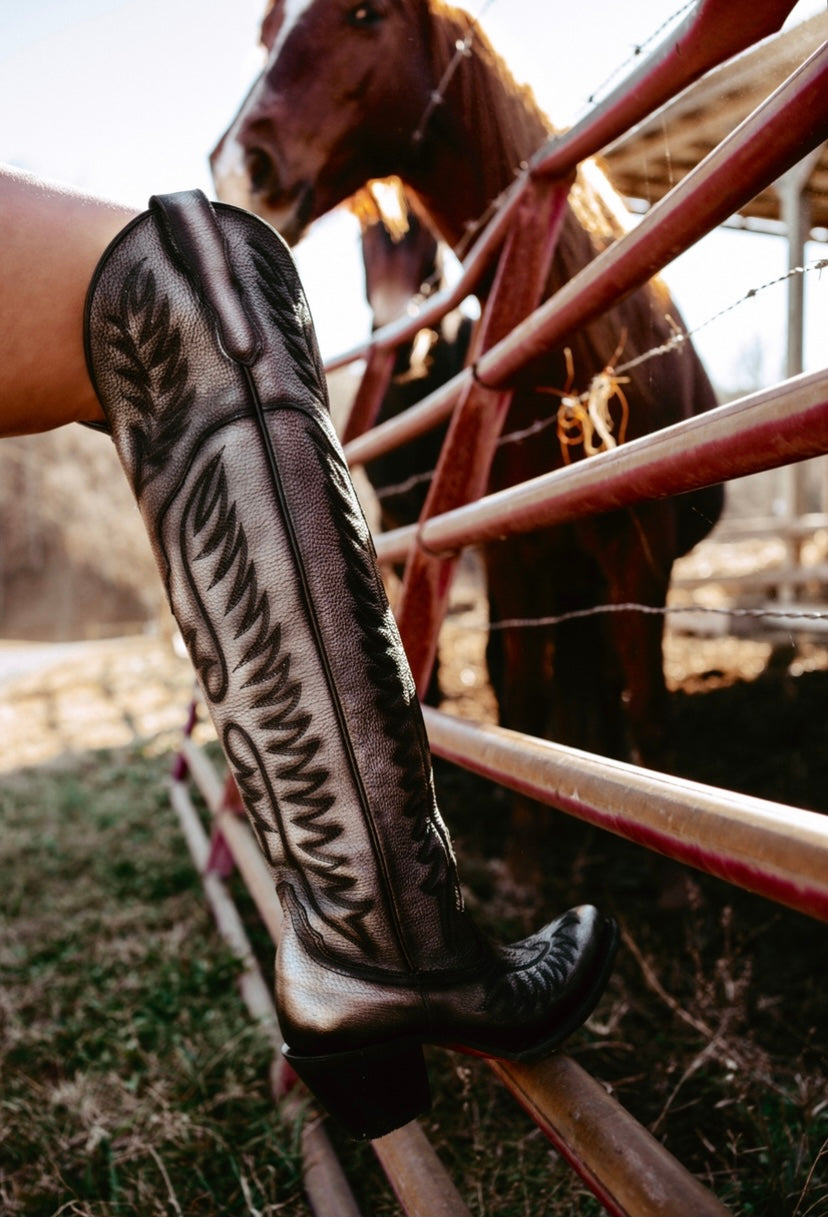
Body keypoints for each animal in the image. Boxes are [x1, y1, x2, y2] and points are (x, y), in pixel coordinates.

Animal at [210, 0, 720, 876]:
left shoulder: (640, 547)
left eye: (364, 14)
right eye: (266, 31)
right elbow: (526, 697)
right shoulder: (515, 552)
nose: (241, 166)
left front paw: (671, 876)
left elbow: (648, 704)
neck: (572, 353)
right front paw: (527, 855)